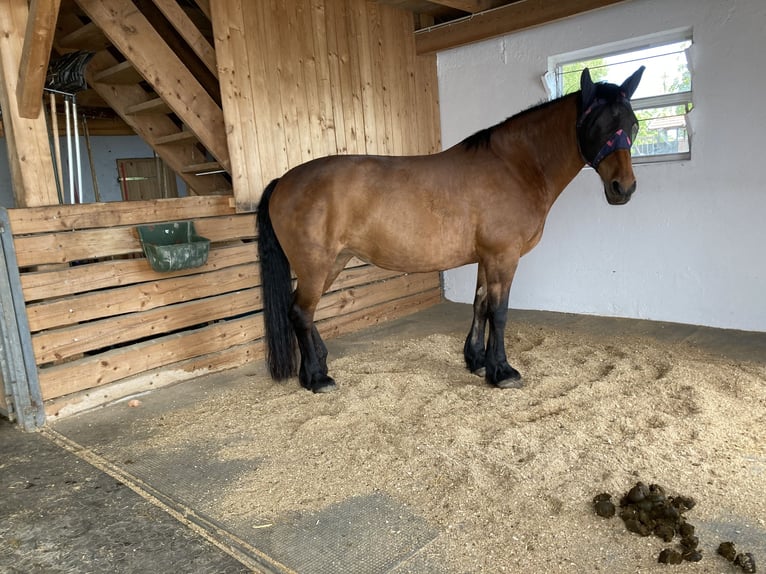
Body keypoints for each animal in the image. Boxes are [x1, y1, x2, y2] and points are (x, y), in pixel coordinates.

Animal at [260, 66, 648, 392]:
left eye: (632, 124)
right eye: (595, 124)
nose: (623, 188)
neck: (515, 166)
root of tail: (283, 181)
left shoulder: (486, 258)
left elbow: (479, 305)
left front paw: (477, 361)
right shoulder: (503, 256)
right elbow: (499, 312)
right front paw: (502, 372)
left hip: (333, 262)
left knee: (303, 311)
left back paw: (318, 366)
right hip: (316, 264)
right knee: (301, 312)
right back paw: (316, 377)